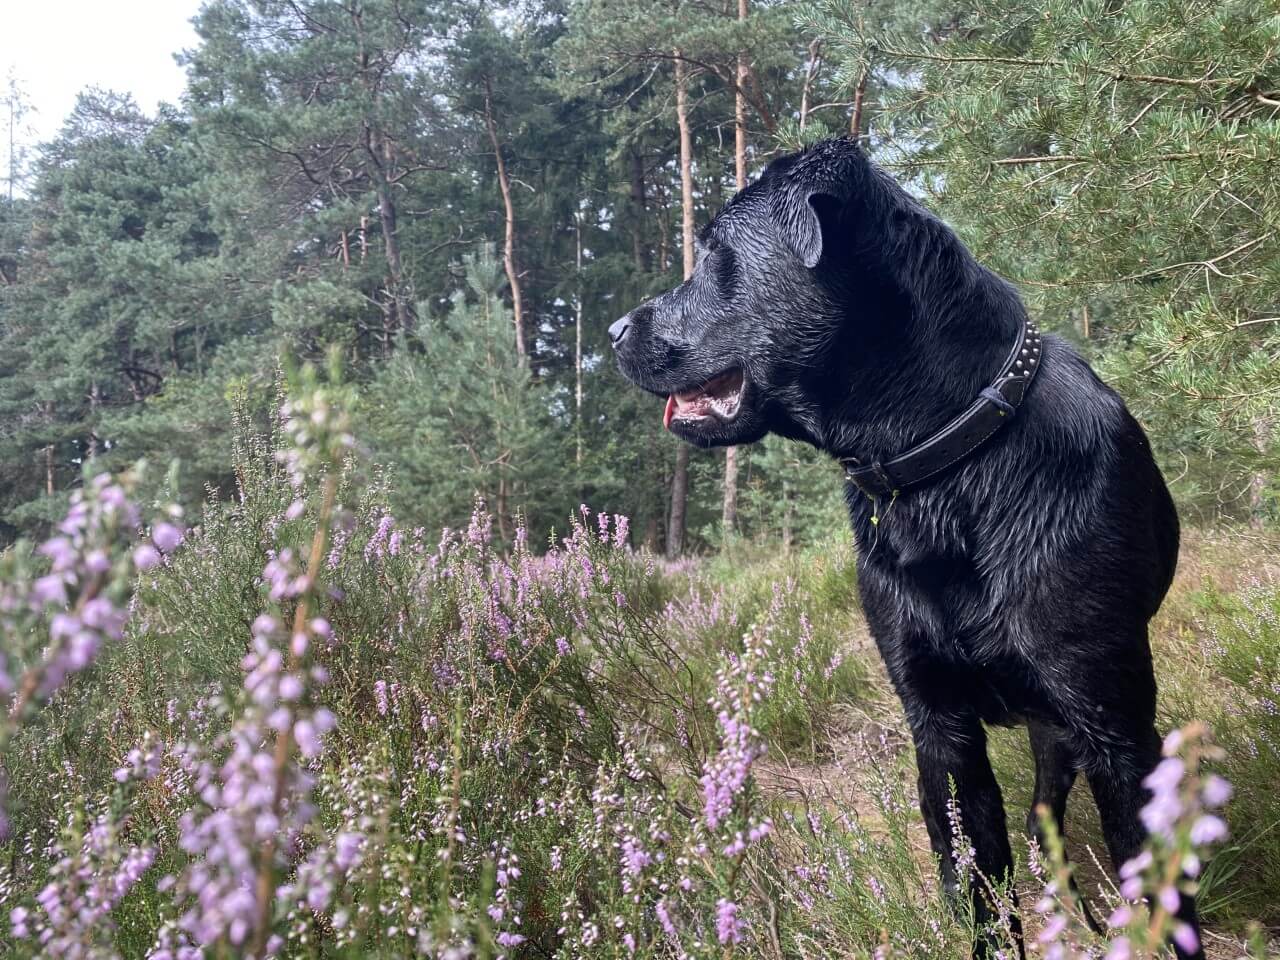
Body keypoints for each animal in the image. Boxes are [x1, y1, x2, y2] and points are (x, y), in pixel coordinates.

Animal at [606, 138, 1198, 957]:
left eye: (717, 253)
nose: (611, 333)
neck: (946, 465)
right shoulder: (937, 727)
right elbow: (977, 890)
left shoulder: (1117, 729)